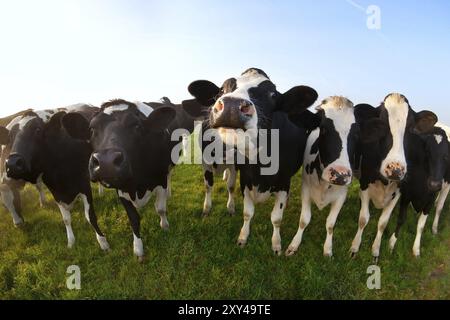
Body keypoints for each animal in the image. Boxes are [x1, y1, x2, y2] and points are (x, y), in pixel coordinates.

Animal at [0, 105, 110, 250]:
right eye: (10, 137)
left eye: (38, 130)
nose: (12, 163)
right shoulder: (55, 190)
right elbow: (66, 219)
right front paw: (71, 242)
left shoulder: (84, 185)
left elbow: (90, 216)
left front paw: (102, 242)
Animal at [185, 69, 318, 254]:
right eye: (221, 90)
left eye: (272, 95)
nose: (232, 106)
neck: (260, 166)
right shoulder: (243, 177)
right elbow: (247, 212)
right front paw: (243, 236)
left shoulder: (284, 181)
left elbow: (276, 218)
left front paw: (276, 243)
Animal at [286, 96, 360, 256]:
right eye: (324, 128)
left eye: (356, 134)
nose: (340, 174)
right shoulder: (305, 189)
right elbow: (304, 220)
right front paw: (294, 244)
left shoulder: (341, 195)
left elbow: (331, 224)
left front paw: (327, 249)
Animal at [350, 93, 438, 262]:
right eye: (382, 125)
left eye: (411, 129)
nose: (396, 169)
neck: (385, 181)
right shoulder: (364, 184)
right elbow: (363, 218)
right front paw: (355, 247)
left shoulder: (399, 191)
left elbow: (383, 223)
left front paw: (375, 251)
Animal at [388, 124, 448, 256]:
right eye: (427, 151)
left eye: (447, 155)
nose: (434, 184)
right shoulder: (406, 194)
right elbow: (401, 219)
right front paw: (392, 243)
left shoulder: (430, 200)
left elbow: (421, 225)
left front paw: (416, 249)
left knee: (439, 207)